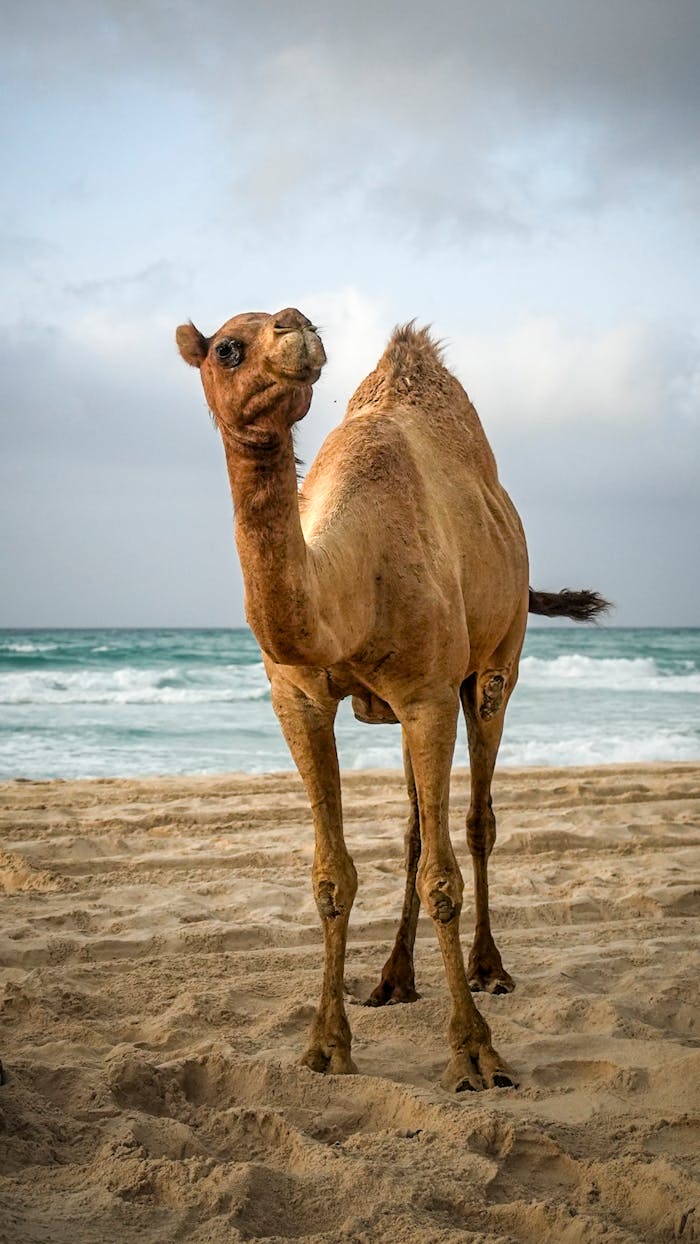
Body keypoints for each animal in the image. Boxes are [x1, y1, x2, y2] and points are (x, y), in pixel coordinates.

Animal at [176, 307, 608, 1092]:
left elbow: (445, 877)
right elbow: (332, 875)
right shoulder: (299, 699)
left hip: (496, 667)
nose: (297, 326)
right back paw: (392, 978)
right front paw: (325, 1045)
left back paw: (490, 969)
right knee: (414, 828)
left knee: (475, 820)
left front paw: (475, 1053)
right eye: (227, 347)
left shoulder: (429, 695)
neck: (349, 580)